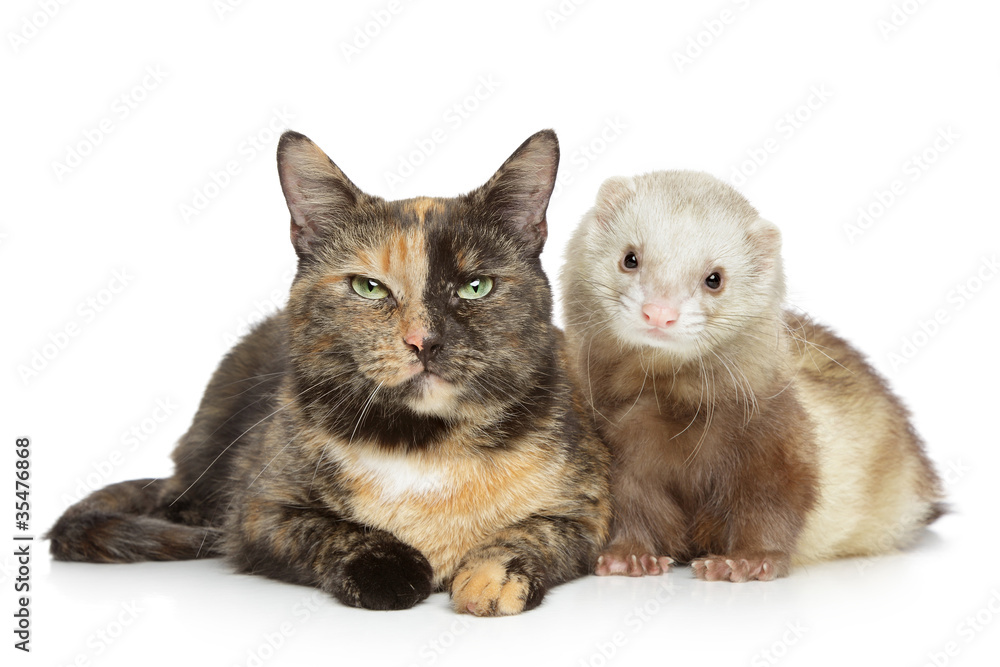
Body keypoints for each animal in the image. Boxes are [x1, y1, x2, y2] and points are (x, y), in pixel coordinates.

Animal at [50, 129, 612, 616]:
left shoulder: (590, 509)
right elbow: (327, 531)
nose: (424, 341)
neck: (423, 446)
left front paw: (491, 577)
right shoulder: (258, 510)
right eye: (369, 287)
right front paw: (391, 568)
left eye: (476, 287)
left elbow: (532, 533)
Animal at [564, 171, 944, 580]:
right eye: (630, 258)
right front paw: (628, 556)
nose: (660, 312)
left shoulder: (777, 443)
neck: (677, 429)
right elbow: (630, 509)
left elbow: (769, 511)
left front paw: (744, 561)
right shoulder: (620, 455)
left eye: (715, 278)